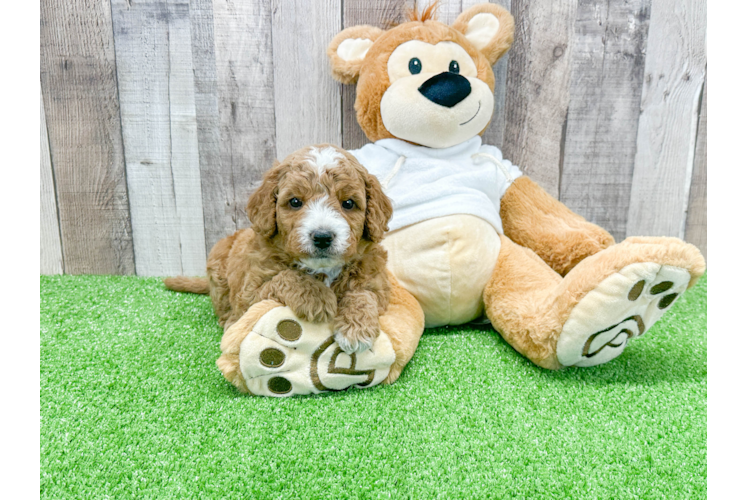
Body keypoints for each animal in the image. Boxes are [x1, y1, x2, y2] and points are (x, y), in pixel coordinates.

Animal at [167, 144, 394, 356]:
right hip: (218, 268)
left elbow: (364, 293)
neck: (322, 269)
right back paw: (230, 322)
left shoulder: (378, 282)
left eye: (348, 203)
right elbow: (285, 277)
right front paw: (316, 297)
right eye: (295, 202)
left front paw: (357, 328)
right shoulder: (250, 293)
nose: (322, 237)